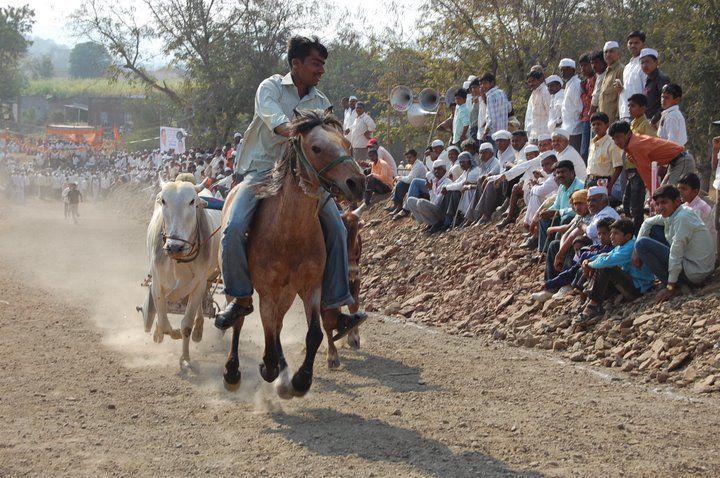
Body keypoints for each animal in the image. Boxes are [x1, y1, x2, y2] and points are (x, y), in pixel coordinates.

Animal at [219, 110, 366, 398]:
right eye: (316, 147)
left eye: (348, 145)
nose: (357, 182)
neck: (289, 231)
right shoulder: (267, 291)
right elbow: (267, 333)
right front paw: (270, 368)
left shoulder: (311, 286)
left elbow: (314, 334)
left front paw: (300, 380)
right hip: (240, 285)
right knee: (240, 319)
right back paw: (233, 370)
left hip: (288, 293)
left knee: (279, 325)